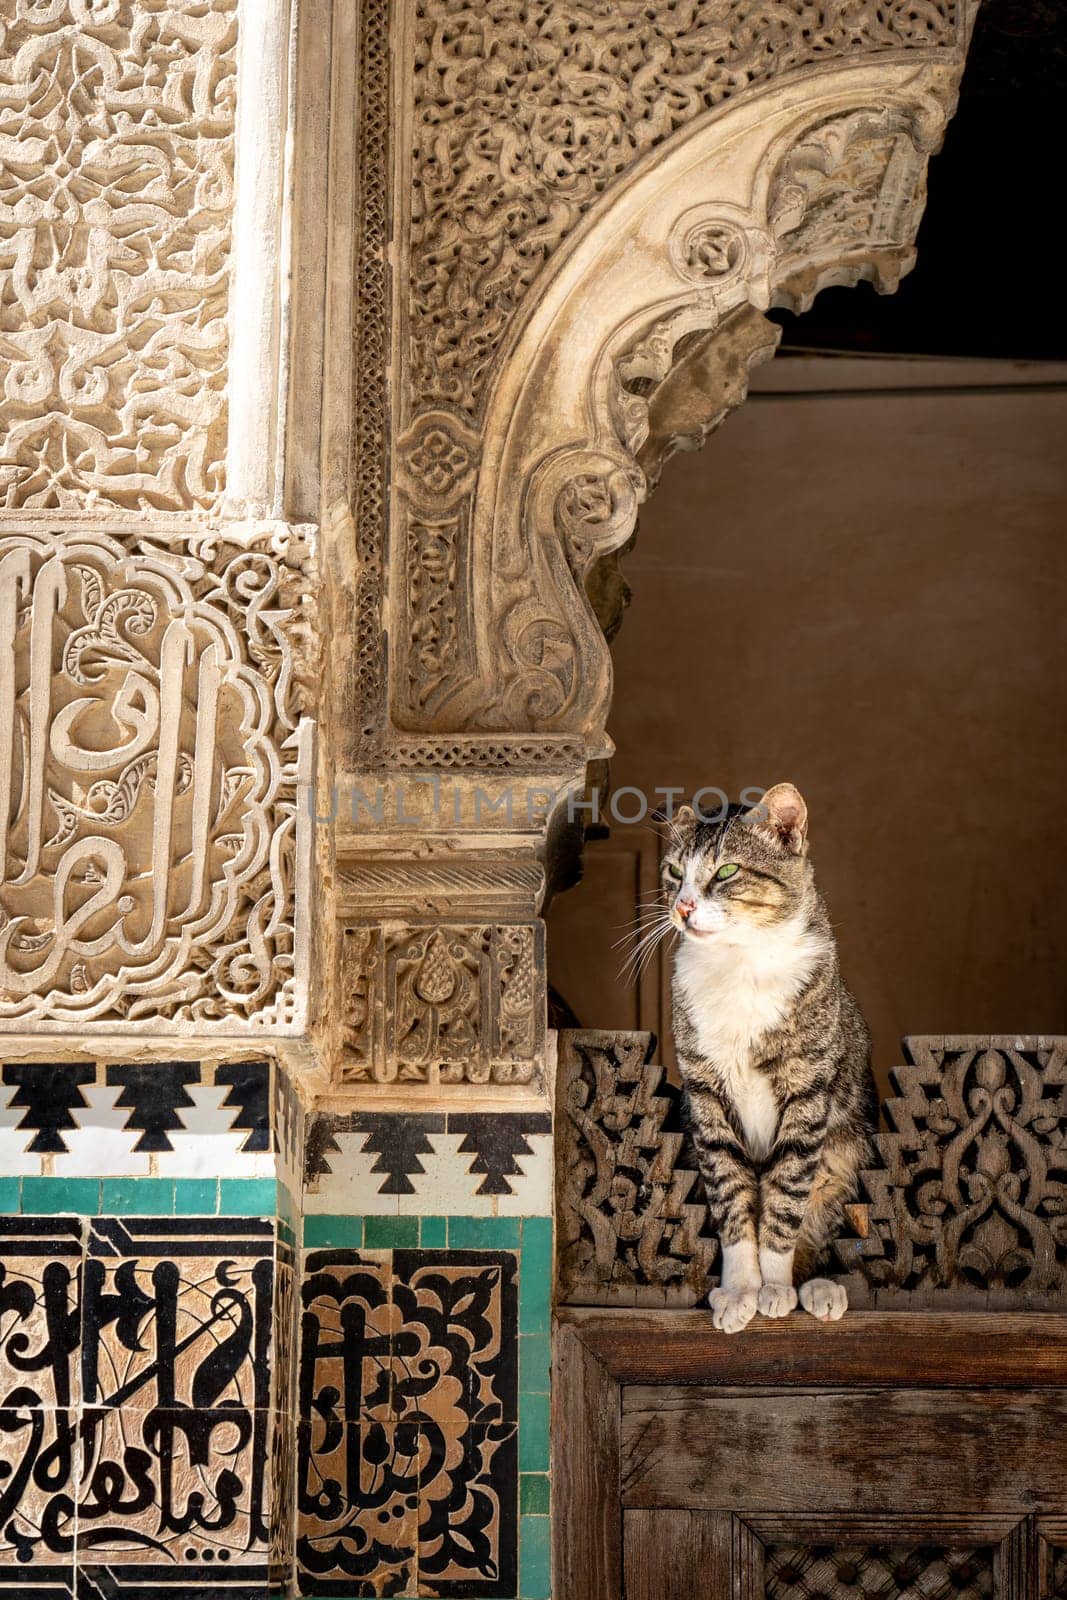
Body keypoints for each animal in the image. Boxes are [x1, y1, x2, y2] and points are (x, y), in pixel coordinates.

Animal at [662, 780, 883, 1331]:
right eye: (674, 873)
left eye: (726, 871)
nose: (682, 907)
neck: (740, 964)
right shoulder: (706, 1100)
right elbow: (731, 1199)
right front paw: (741, 1289)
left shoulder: (806, 1098)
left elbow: (785, 1199)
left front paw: (776, 1288)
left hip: (847, 1151)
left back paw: (819, 1286)